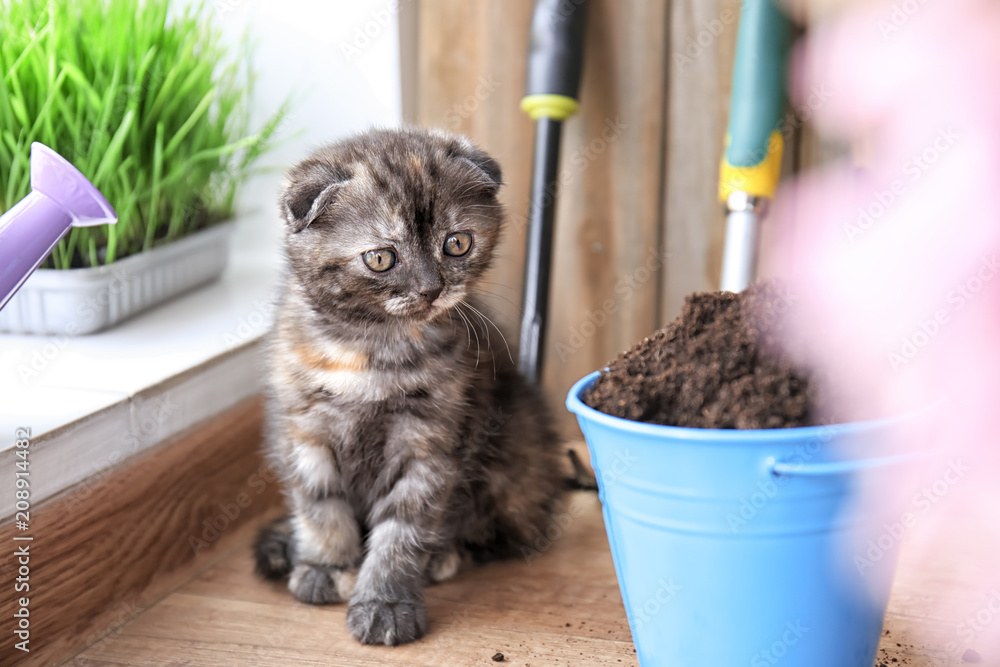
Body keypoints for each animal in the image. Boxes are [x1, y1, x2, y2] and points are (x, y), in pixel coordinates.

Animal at [254, 126, 568, 648]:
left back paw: (445, 556)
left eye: (457, 244)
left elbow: (403, 530)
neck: (372, 350)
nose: (430, 288)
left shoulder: (430, 444)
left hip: (517, 463)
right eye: (382, 257)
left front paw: (386, 603)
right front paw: (326, 566)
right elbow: (319, 505)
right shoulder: (303, 431)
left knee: (503, 532)